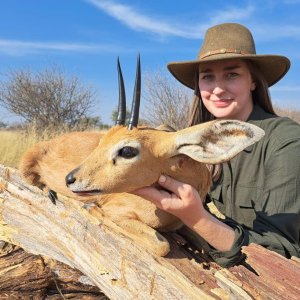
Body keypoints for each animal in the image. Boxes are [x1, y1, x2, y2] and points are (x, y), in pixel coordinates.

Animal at [19, 56, 264, 255]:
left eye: (127, 150)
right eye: (103, 140)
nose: (70, 179)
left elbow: (203, 243)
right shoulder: (121, 213)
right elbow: (162, 245)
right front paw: (91, 208)